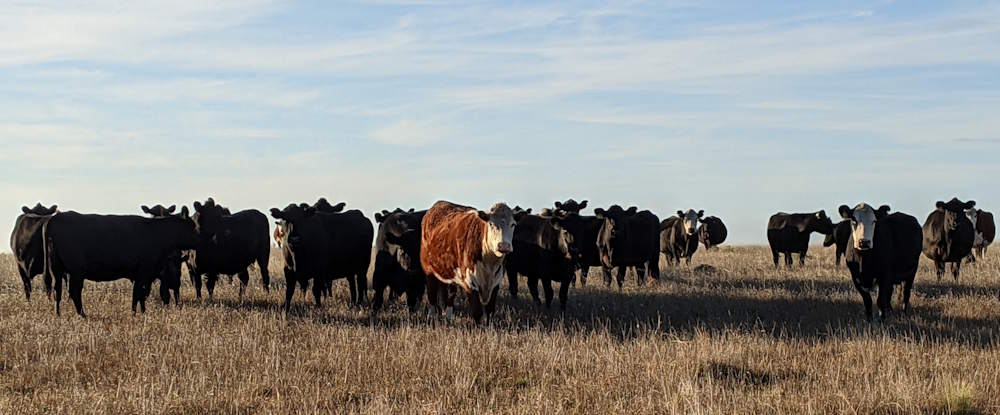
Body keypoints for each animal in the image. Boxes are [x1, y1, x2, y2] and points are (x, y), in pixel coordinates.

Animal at [43, 208, 200, 316]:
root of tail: (55, 218)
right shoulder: (143, 272)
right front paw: (136, 313)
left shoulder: (144, 275)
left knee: (58, 290)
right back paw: (82, 315)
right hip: (76, 271)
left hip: (57, 268)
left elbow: (141, 295)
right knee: (74, 291)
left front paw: (141, 312)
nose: (200, 239)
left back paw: (59, 314)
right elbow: (138, 294)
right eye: (192, 226)